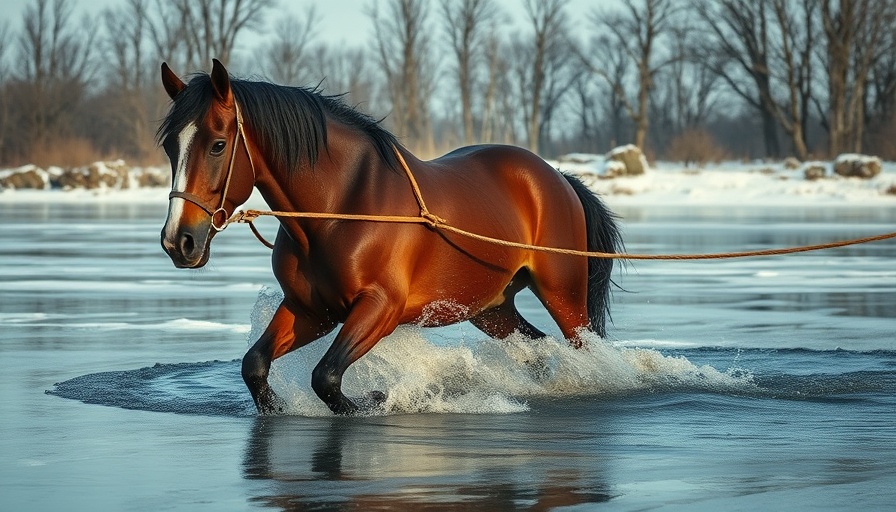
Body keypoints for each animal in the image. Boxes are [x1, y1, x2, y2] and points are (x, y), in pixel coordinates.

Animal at [159, 59, 624, 416]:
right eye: (169, 147)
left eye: (218, 144)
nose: (179, 241)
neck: (339, 210)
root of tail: (557, 177)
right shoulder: (310, 310)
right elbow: (255, 365)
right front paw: (276, 408)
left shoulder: (380, 307)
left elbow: (326, 377)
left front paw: (378, 399)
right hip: (492, 307)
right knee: (538, 347)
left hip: (563, 293)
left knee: (583, 348)